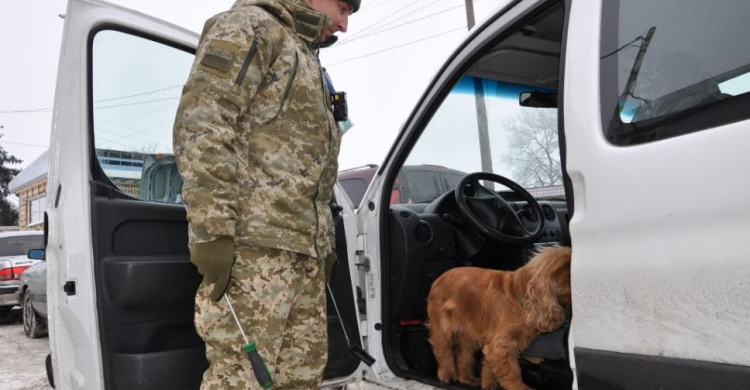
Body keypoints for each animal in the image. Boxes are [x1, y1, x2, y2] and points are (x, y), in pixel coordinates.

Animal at [426, 247, 572, 390]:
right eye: (568, 276)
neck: (522, 299)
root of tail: (438, 280)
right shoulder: (501, 345)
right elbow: (512, 371)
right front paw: (519, 387)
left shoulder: (493, 342)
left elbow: (490, 365)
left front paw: (489, 383)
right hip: (442, 327)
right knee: (443, 351)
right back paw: (447, 375)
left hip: (468, 334)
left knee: (464, 355)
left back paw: (467, 378)